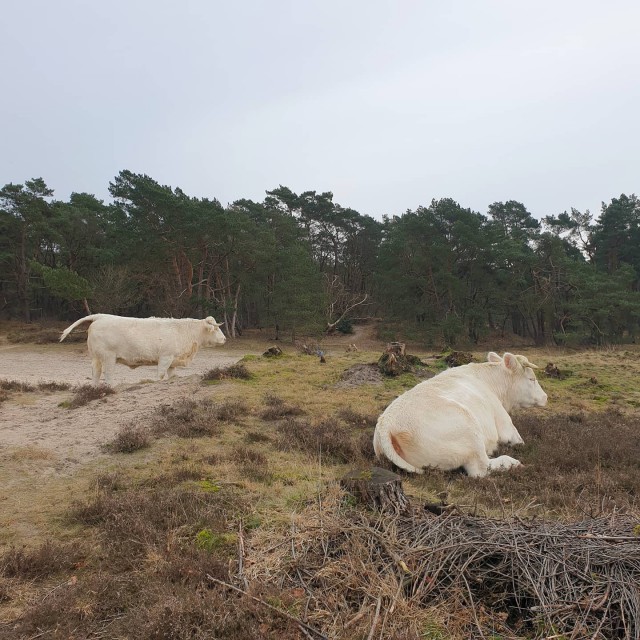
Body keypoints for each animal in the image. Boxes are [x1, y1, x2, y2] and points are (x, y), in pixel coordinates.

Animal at [58, 314, 228, 384]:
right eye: (215, 329)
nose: (225, 339)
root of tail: (100, 317)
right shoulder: (165, 358)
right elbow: (160, 375)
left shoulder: (172, 360)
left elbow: (172, 376)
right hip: (108, 357)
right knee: (108, 375)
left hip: (96, 358)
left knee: (95, 374)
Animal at [372, 352, 548, 478]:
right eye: (531, 379)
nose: (545, 397)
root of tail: (385, 425)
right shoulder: (504, 422)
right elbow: (518, 439)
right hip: (470, 429)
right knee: (481, 468)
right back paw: (513, 463)